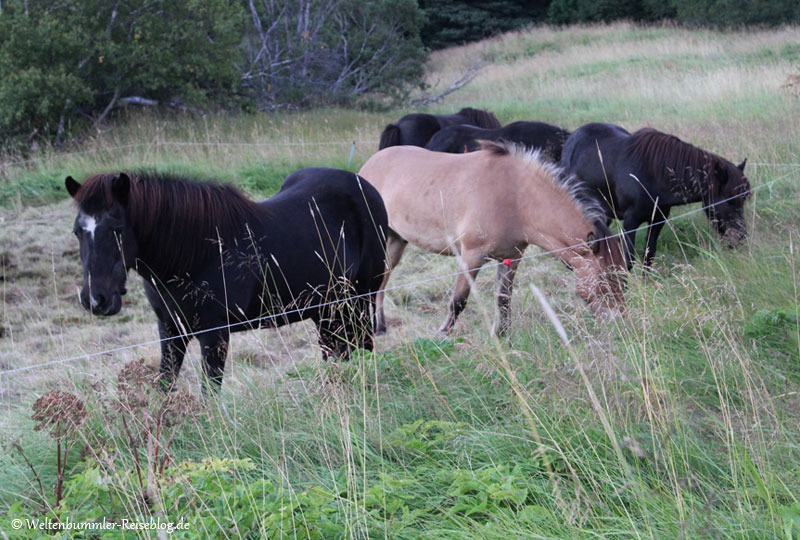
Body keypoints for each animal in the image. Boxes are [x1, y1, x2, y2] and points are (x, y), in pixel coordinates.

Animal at [360, 141, 628, 336]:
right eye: (604, 278)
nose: (619, 319)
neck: (516, 197)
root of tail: (368, 164)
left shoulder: (511, 257)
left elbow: (503, 299)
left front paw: (502, 335)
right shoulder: (471, 256)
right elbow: (458, 301)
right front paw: (442, 334)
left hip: (396, 240)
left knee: (383, 279)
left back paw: (380, 325)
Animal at [560, 125, 752, 272]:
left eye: (743, 200)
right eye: (729, 200)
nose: (740, 237)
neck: (652, 174)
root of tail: (572, 138)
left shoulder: (658, 220)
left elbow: (649, 256)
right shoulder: (630, 221)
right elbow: (629, 259)